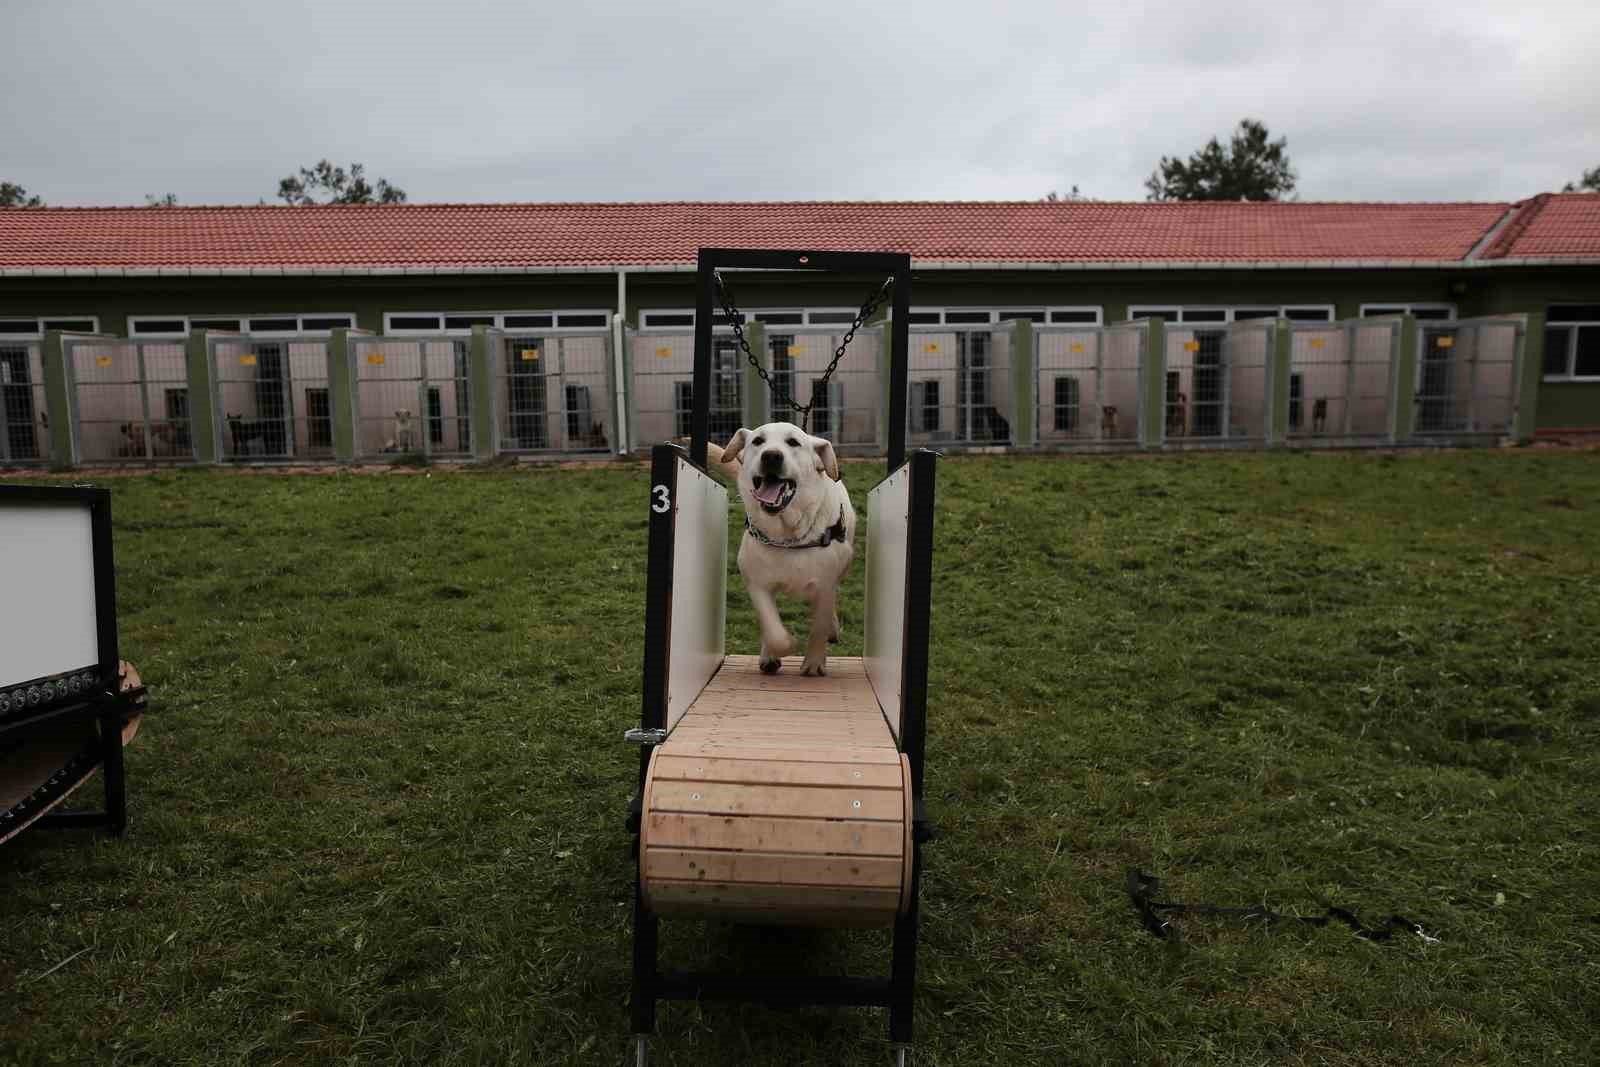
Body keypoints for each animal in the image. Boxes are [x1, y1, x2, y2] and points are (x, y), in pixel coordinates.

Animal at [710, 422, 857, 675]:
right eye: (758, 441)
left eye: (793, 442)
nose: (771, 456)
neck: (788, 536)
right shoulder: (757, 584)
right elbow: (773, 630)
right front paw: (781, 648)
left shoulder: (825, 586)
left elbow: (819, 626)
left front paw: (814, 663)